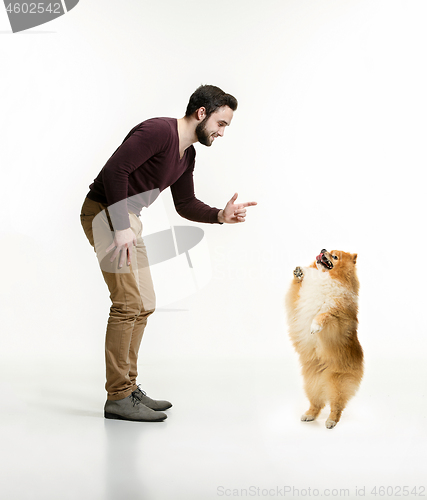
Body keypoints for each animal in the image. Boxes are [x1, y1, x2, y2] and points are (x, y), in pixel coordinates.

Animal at [288, 248, 364, 428]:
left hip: (338, 382)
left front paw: (315, 326)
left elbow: (324, 314)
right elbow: (296, 289)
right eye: (328, 250)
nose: (323, 250)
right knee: (317, 403)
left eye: (334, 256)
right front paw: (299, 273)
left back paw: (331, 421)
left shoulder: (338, 319)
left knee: (336, 405)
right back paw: (309, 415)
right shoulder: (297, 302)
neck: (324, 277)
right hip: (312, 383)